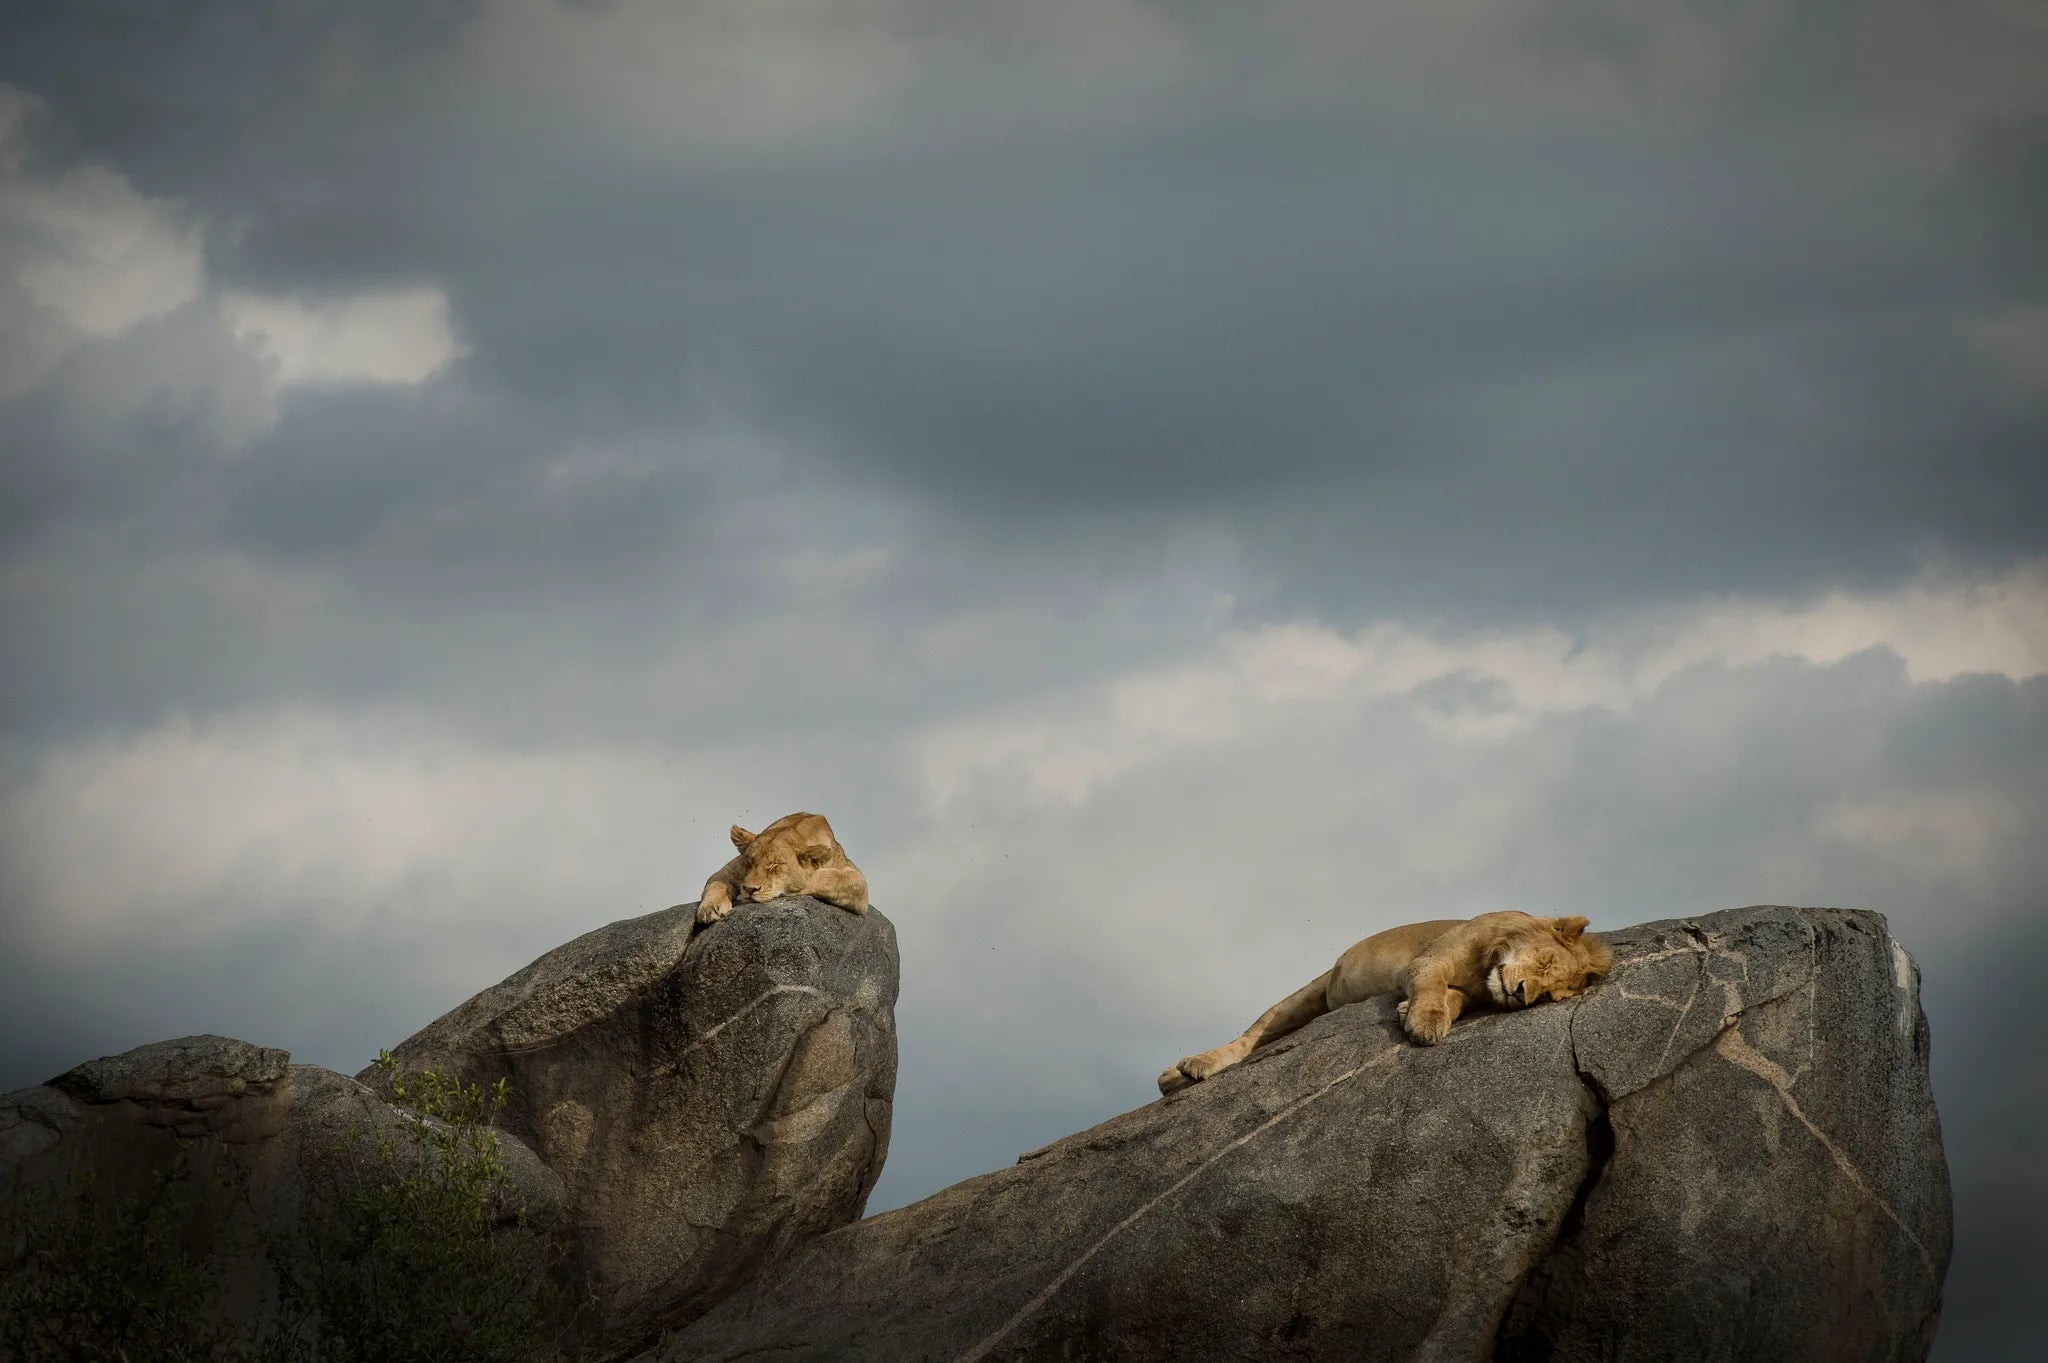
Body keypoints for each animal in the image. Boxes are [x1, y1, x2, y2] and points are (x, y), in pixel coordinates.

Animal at [695, 811, 870, 925]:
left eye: (774, 865)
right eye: (750, 861)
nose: (749, 889)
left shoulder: (859, 884)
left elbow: (831, 878)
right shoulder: (728, 871)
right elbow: (716, 883)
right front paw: (710, 908)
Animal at [1158, 911, 1611, 1094]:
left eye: (1548, 995)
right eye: (1545, 960)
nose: (1521, 994)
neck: (1490, 963)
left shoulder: (1472, 991)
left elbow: (1452, 1000)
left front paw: (1411, 1013)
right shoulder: (1429, 960)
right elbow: (1432, 987)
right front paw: (1424, 1021)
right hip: (1305, 995)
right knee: (1249, 1038)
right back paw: (1186, 1070)